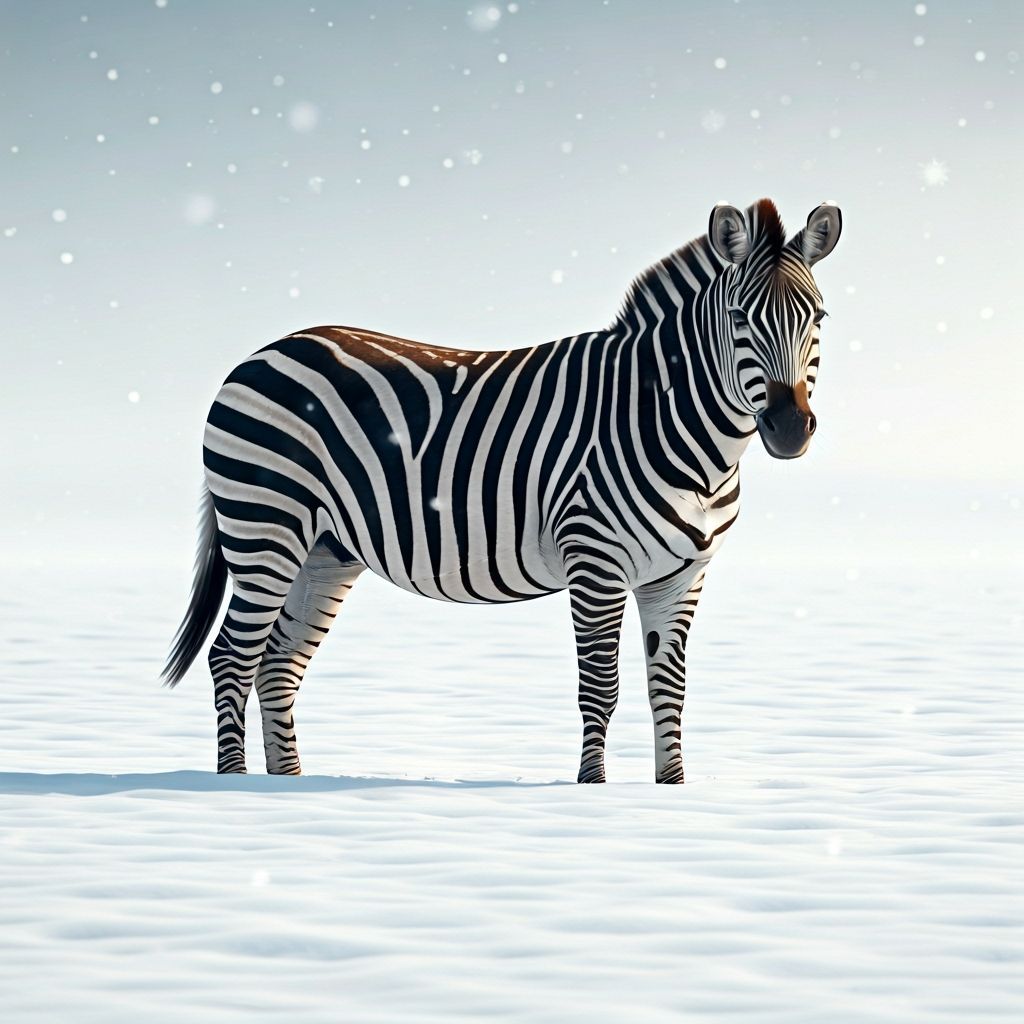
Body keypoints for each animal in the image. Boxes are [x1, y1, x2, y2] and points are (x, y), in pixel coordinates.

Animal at [163, 198, 841, 783]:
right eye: (739, 319)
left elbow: (667, 689)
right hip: (265, 526)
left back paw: (285, 790)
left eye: (819, 318)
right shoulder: (594, 557)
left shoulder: (681, 573)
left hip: (325, 550)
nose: (788, 429)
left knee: (277, 663)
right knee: (232, 657)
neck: (681, 432)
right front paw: (593, 791)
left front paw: (670, 792)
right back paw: (233, 790)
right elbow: (600, 685)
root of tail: (259, 354)